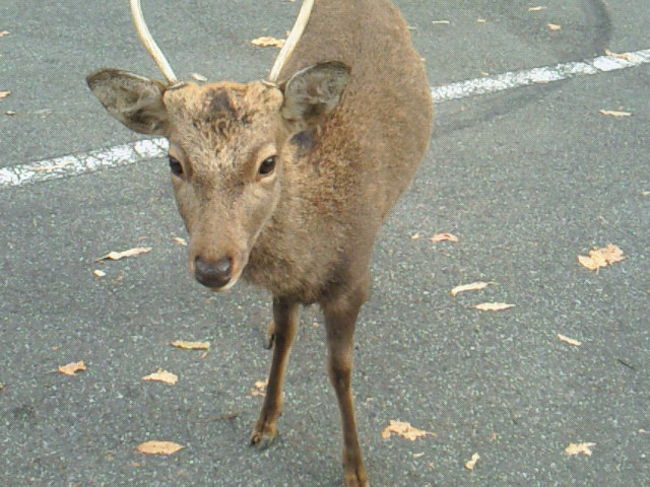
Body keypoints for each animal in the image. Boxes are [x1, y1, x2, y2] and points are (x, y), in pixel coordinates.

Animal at [86, 0, 432, 485]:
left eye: (268, 162)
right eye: (174, 162)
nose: (213, 267)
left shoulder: (350, 282)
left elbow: (340, 371)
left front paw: (355, 468)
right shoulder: (283, 290)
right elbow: (286, 338)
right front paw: (265, 424)